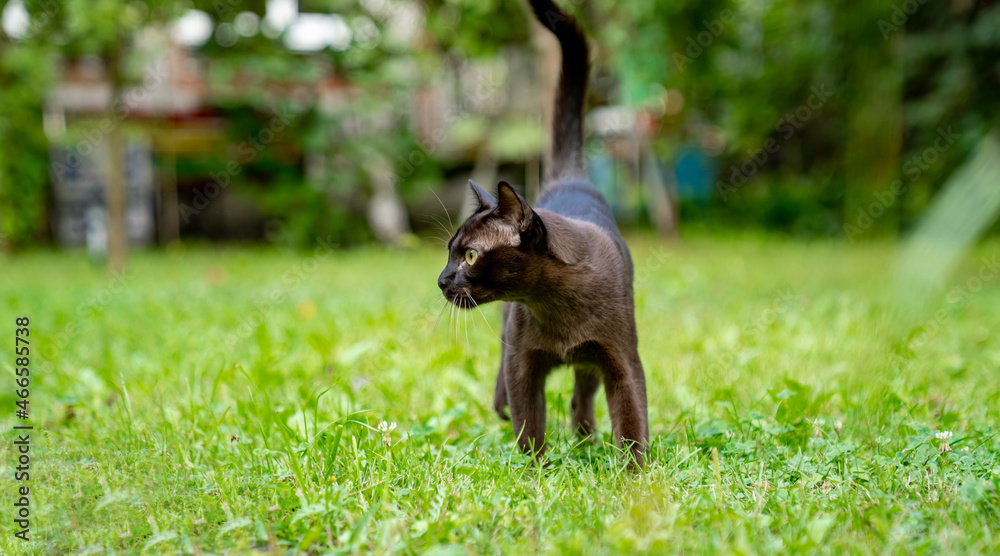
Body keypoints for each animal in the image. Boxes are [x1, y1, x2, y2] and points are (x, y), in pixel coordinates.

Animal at [438, 0, 648, 470]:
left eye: (470, 256)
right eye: (449, 253)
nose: (441, 280)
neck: (556, 304)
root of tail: (571, 178)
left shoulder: (620, 359)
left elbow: (631, 422)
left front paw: (636, 478)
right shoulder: (523, 363)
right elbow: (528, 424)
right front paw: (536, 473)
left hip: (591, 364)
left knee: (580, 399)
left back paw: (586, 441)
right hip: (509, 336)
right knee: (508, 391)